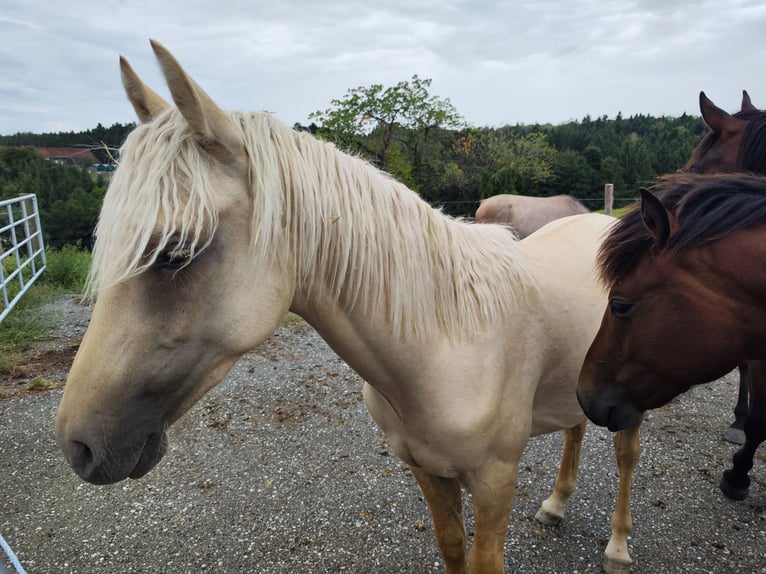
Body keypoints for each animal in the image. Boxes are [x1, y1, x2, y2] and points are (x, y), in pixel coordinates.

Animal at [53, 41, 618, 574]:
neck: (449, 342)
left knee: (626, 454)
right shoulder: (428, 471)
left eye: (174, 252)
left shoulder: (496, 481)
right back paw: (556, 505)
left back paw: (617, 547)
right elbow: (452, 547)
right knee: (576, 428)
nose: (76, 446)